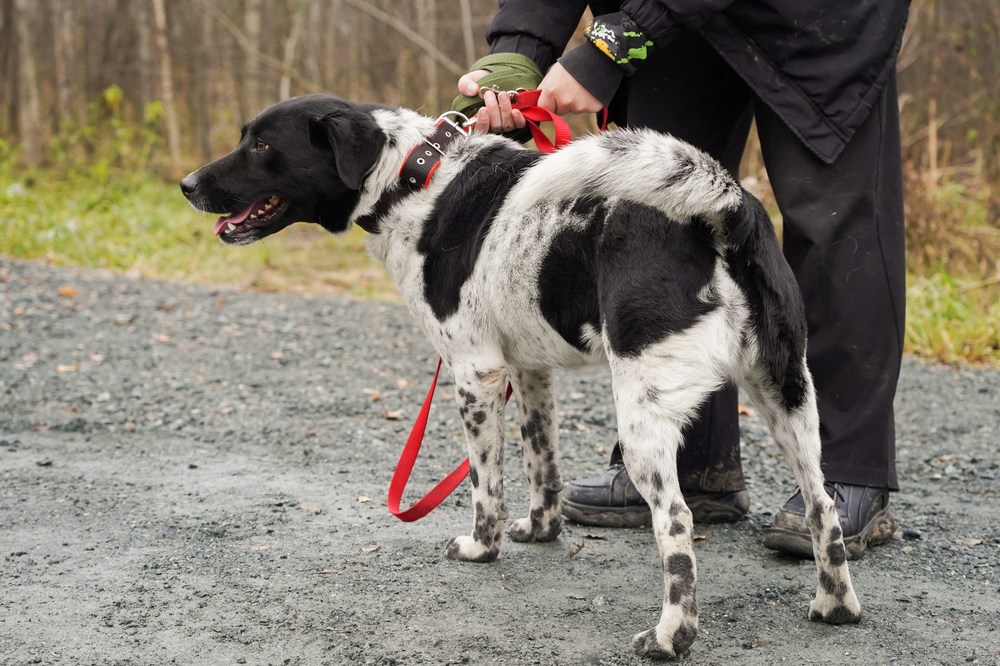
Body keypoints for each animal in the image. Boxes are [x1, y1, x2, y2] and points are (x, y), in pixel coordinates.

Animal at [181, 94, 862, 659]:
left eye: (262, 146)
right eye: (246, 138)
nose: (186, 184)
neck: (414, 179)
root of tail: (724, 211)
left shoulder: (474, 372)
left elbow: (484, 483)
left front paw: (480, 548)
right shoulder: (530, 371)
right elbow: (542, 463)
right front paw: (541, 529)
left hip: (644, 418)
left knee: (676, 525)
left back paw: (671, 637)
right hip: (787, 396)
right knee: (823, 505)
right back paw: (835, 605)